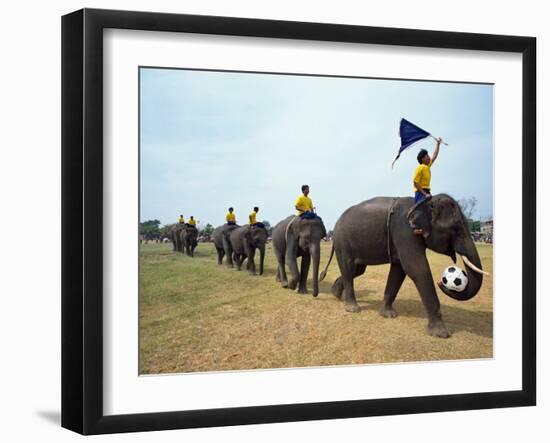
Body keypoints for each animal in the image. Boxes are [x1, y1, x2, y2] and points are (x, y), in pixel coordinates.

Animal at [322, 195, 490, 340]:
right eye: (455, 229)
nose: (441, 282)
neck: (424, 202)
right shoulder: (405, 232)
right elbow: (417, 269)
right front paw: (441, 334)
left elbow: (399, 270)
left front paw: (388, 315)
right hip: (342, 242)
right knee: (349, 268)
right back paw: (352, 308)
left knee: (357, 270)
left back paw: (337, 294)